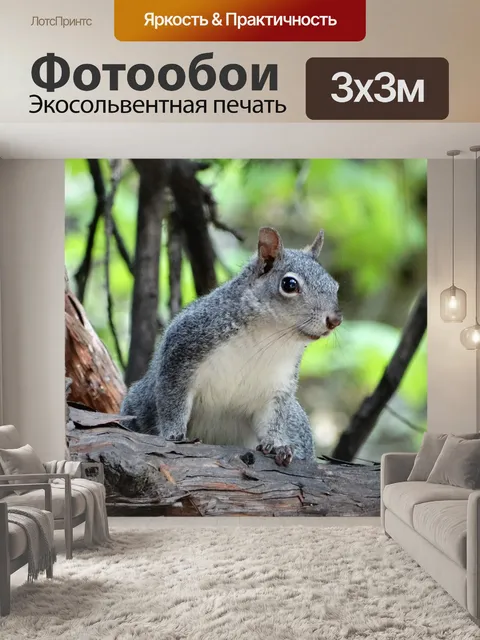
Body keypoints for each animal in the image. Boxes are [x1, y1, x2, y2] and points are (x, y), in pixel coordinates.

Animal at [121, 226, 342, 467]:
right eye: (289, 285)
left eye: (335, 286)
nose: (335, 320)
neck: (268, 338)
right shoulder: (182, 352)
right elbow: (172, 399)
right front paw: (174, 433)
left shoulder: (277, 388)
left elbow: (272, 420)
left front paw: (278, 445)